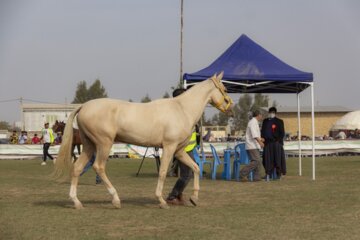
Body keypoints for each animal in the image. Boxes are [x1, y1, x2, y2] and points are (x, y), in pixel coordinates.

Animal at [53, 72, 233, 209]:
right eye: (224, 89)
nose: (231, 110)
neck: (182, 109)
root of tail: (84, 106)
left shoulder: (179, 151)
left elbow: (195, 168)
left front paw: (194, 198)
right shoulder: (169, 147)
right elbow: (162, 172)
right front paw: (161, 201)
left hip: (89, 146)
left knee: (77, 168)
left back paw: (77, 202)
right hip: (104, 144)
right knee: (99, 167)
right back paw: (116, 199)